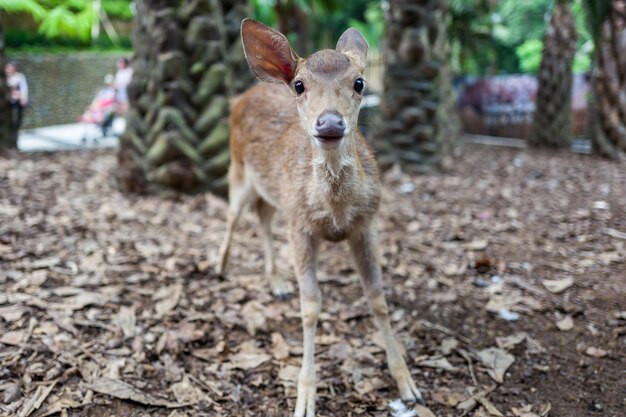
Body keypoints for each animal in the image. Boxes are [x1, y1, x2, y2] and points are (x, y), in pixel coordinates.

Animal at [216, 18, 424, 416]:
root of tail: (242, 97)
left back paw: (277, 282)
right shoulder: (300, 225)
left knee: (263, 217)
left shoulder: (367, 224)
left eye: (359, 82)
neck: (337, 211)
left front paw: (407, 384)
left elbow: (378, 299)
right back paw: (219, 266)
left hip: (274, 194)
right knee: (234, 215)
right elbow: (311, 307)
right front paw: (305, 397)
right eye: (300, 84)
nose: (329, 123)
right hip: (238, 170)